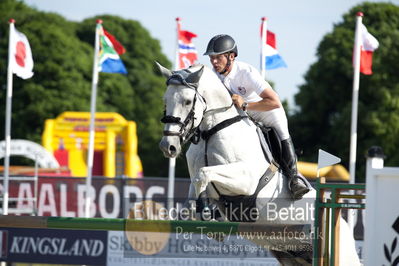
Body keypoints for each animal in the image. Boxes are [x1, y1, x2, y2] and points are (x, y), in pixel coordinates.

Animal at [158, 63, 360, 264]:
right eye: (165, 101)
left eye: (187, 101)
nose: (168, 146)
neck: (212, 131)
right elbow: (189, 203)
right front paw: (211, 221)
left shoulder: (246, 181)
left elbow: (204, 174)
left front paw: (207, 212)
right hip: (289, 255)